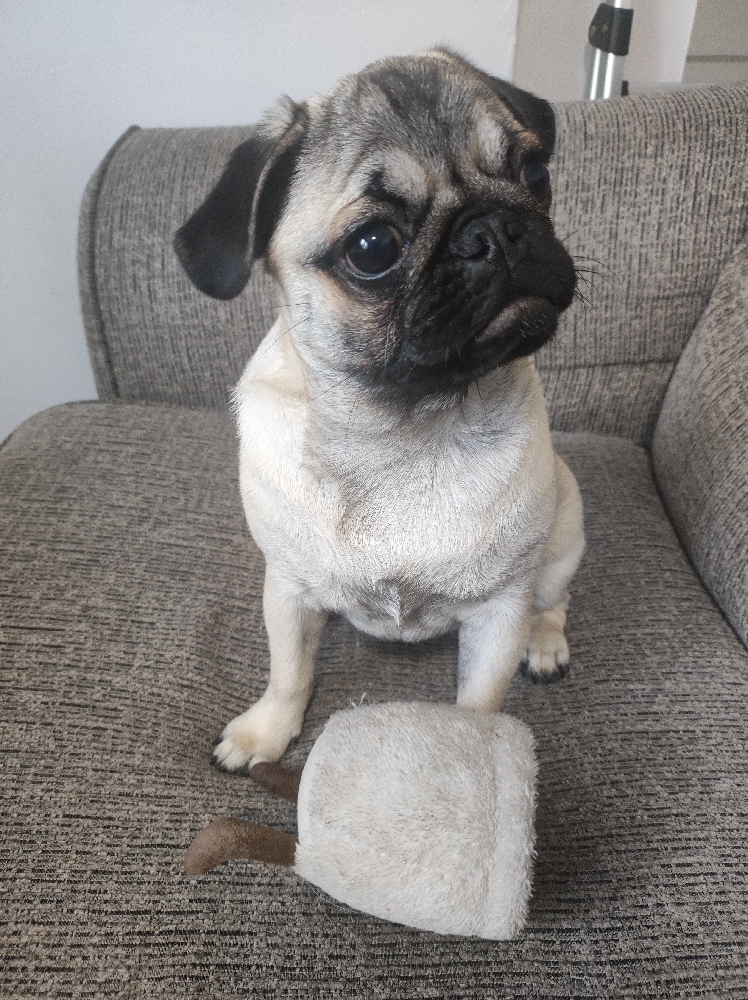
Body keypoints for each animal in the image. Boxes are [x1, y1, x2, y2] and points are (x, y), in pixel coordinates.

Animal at [174, 48, 585, 771]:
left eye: (534, 174)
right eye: (373, 246)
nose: (496, 228)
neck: (401, 431)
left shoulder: (498, 609)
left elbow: (480, 702)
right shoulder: (287, 586)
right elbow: (289, 670)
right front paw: (267, 731)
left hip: (566, 529)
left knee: (554, 600)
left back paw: (545, 645)